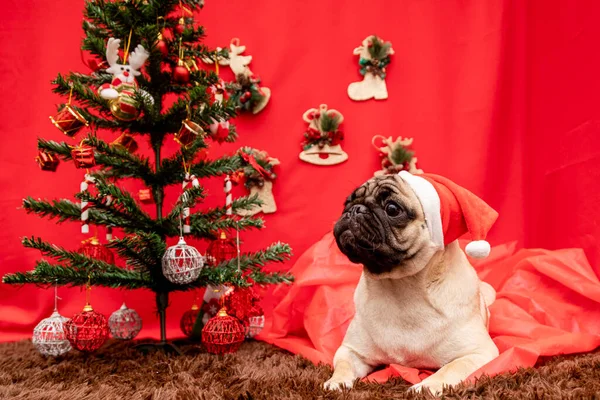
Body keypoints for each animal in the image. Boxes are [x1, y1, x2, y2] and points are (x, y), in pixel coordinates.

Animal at [326, 173, 500, 396]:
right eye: (347, 203)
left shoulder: (478, 352)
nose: (355, 209)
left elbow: (449, 369)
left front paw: (425, 387)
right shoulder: (351, 350)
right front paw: (336, 382)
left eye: (392, 209)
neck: (400, 287)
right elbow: (343, 366)